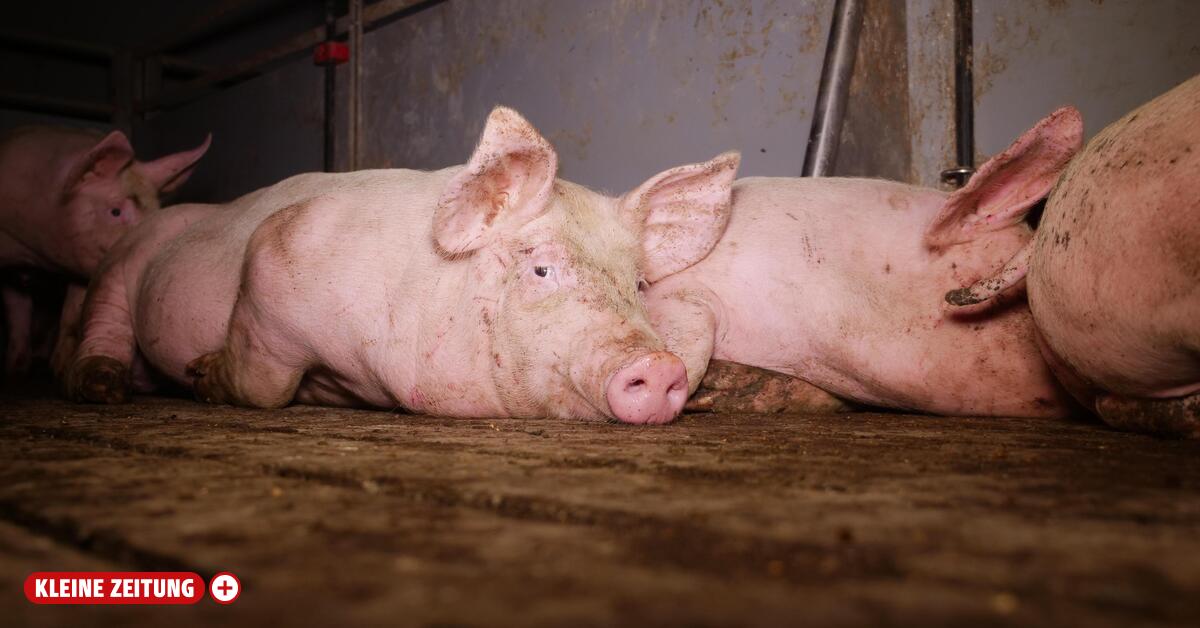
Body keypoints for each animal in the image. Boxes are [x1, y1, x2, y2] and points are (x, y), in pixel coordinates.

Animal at [0, 126, 210, 376]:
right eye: (116, 212)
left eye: (156, 211)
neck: (38, 257)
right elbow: (17, 311)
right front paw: (16, 370)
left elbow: (71, 315)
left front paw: (61, 369)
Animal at [64, 107, 740, 424]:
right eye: (542, 270)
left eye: (639, 284)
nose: (657, 365)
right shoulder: (274, 257)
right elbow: (266, 386)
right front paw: (201, 374)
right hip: (121, 262)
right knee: (101, 321)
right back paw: (105, 387)